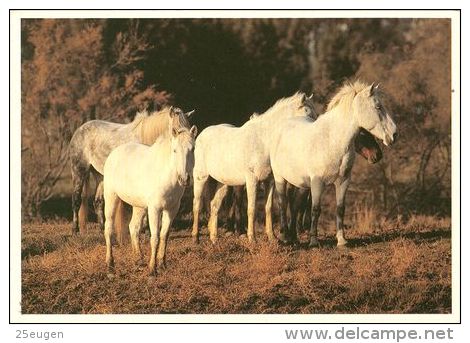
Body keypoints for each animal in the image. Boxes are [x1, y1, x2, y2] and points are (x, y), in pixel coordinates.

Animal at [67, 107, 193, 236]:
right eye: (175, 129)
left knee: (98, 201)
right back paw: (75, 230)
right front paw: (146, 230)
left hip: (100, 176)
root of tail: (79, 130)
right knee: (76, 200)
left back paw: (102, 229)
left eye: (188, 127)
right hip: (78, 170)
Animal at [103, 109, 197, 278]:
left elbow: (164, 236)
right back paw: (110, 266)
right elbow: (155, 238)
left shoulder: (171, 210)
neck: (166, 173)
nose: (184, 179)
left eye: (192, 149)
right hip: (111, 197)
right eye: (174, 150)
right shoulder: (155, 209)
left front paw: (162, 264)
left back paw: (138, 259)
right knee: (108, 228)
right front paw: (152, 270)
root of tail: (115, 153)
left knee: (133, 227)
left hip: (139, 206)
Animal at [191, 93, 316, 245]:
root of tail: (201, 135)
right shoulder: (252, 180)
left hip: (223, 183)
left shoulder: (270, 181)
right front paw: (252, 238)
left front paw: (272, 237)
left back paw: (214, 238)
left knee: (214, 205)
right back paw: (196, 237)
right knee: (196, 204)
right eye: (307, 113)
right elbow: (251, 208)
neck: (264, 141)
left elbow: (268, 208)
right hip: (201, 177)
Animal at [270, 82, 398, 249]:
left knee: (293, 204)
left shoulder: (343, 181)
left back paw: (293, 238)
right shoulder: (317, 183)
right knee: (282, 203)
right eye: (378, 106)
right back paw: (285, 237)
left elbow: (340, 209)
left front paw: (342, 240)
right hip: (280, 178)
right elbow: (315, 210)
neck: (332, 140)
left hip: (297, 182)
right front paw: (313, 242)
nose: (394, 134)